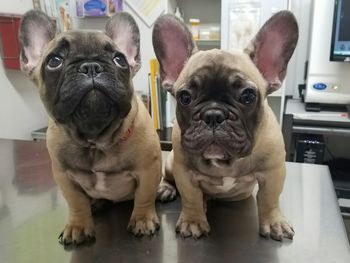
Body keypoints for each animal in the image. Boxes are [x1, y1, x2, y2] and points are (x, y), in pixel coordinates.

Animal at [19, 9, 161, 245]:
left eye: (119, 59)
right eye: (54, 61)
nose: (91, 66)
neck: (96, 140)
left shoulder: (148, 169)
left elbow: (144, 196)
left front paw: (142, 220)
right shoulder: (64, 176)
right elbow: (76, 202)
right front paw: (77, 226)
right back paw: (95, 204)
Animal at [152, 10, 298, 241]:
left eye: (248, 96)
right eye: (185, 97)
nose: (213, 115)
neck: (226, 162)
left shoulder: (273, 172)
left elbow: (270, 199)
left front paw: (274, 222)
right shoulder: (184, 171)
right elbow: (191, 197)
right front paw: (193, 221)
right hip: (171, 162)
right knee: (170, 179)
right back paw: (166, 189)